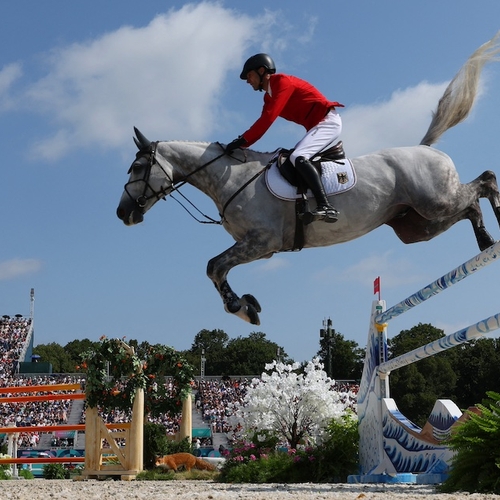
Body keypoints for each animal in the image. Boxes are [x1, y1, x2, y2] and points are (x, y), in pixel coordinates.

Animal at [116, 33, 500, 326]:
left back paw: (491, 233)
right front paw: (247, 306)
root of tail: (425, 148)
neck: (230, 176)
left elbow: (214, 266)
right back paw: (485, 241)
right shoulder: (258, 248)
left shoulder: (262, 242)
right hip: (417, 226)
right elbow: (217, 270)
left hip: (436, 202)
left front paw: (241, 308)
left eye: (136, 169)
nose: (123, 214)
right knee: (469, 207)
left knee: (483, 182)